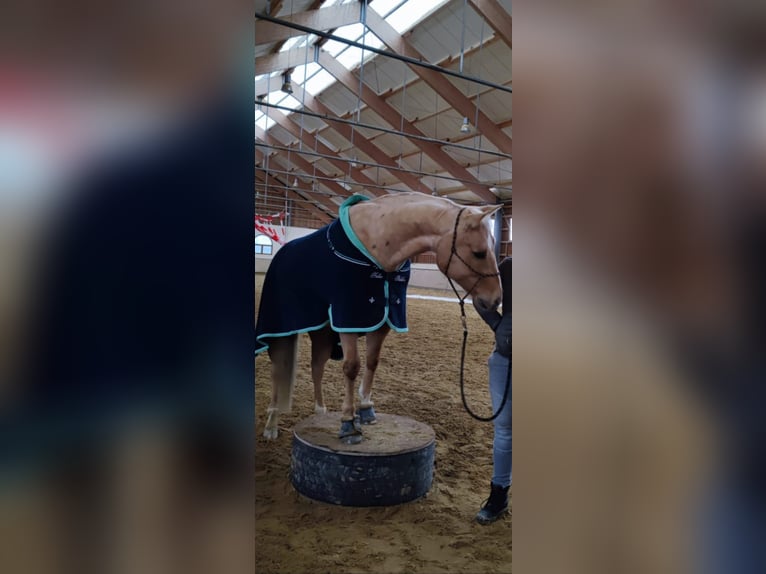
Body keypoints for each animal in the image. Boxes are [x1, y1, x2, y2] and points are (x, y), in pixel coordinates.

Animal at [256, 194, 504, 446]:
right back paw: (271, 425)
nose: (495, 299)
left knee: (317, 366)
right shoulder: (349, 318)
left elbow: (372, 362)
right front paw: (348, 424)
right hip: (282, 332)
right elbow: (352, 367)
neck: (378, 243)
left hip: (323, 331)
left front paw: (366, 408)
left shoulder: (382, 320)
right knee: (279, 371)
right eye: (479, 253)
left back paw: (320, 412)